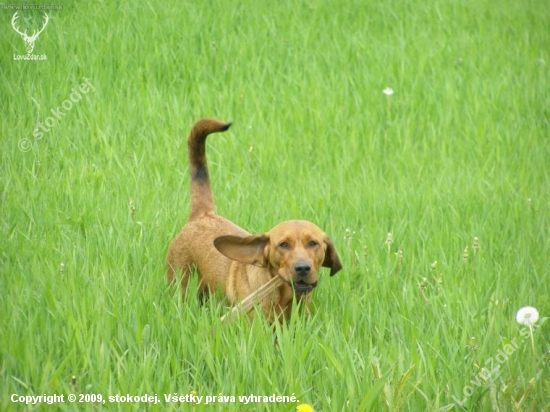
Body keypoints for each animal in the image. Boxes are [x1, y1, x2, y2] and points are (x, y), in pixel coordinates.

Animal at [166, 118, 342, 322]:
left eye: (313, 243)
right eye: (283, 245)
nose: (303, 268)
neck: (283, 298)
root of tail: (204, 214)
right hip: (180, 284)